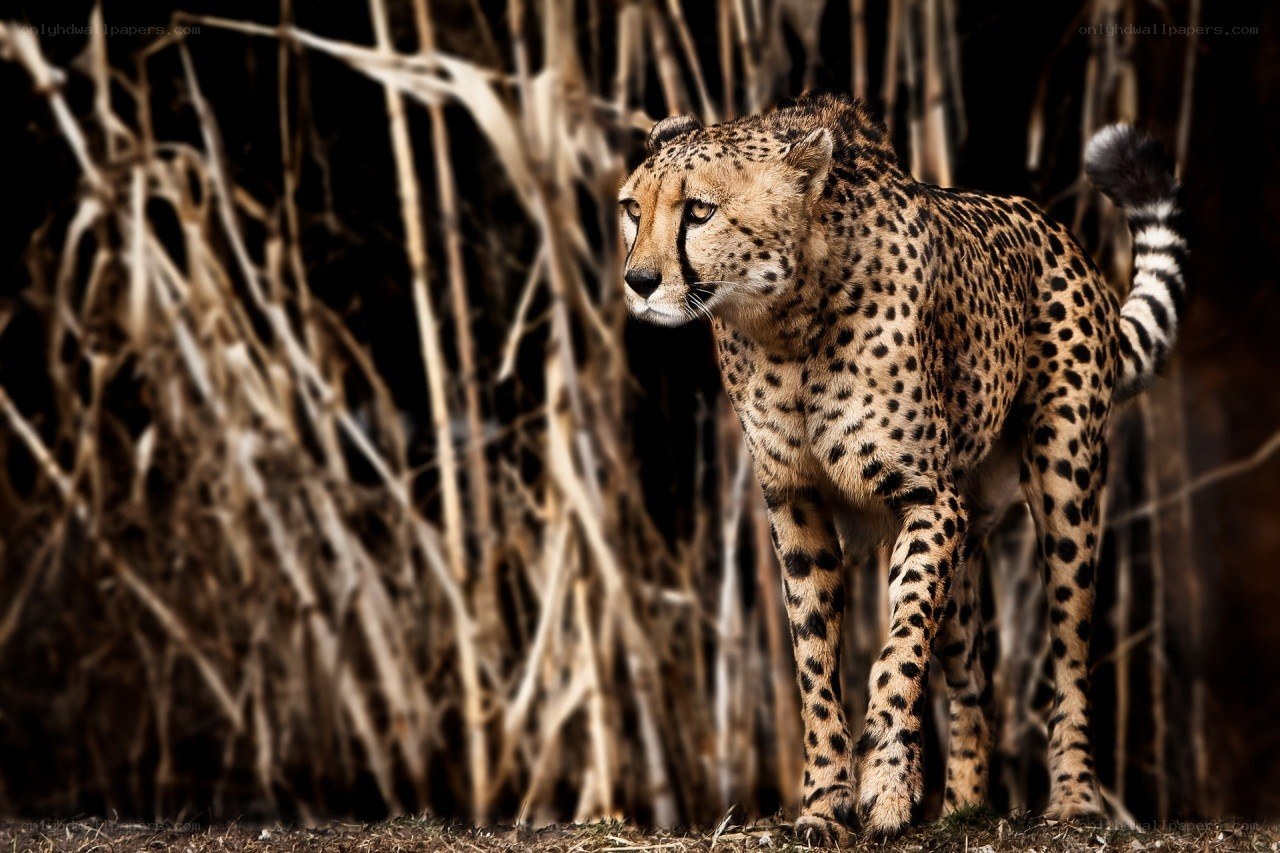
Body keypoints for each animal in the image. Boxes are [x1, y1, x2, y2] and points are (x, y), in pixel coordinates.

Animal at [617, 91, 1185, 842]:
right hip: (968, 537)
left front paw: (884, 787)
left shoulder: (927, 500)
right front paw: (825, 803)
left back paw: (1074, 798)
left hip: (1064, 491)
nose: (639, 281)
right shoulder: (798, 508)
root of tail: (1053, 229)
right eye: (633, 208)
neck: (787, 321)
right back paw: (965, 806)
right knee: (975, 681)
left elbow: (897, 649)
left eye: (700, 211)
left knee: (1068, 654)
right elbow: (814, 665)